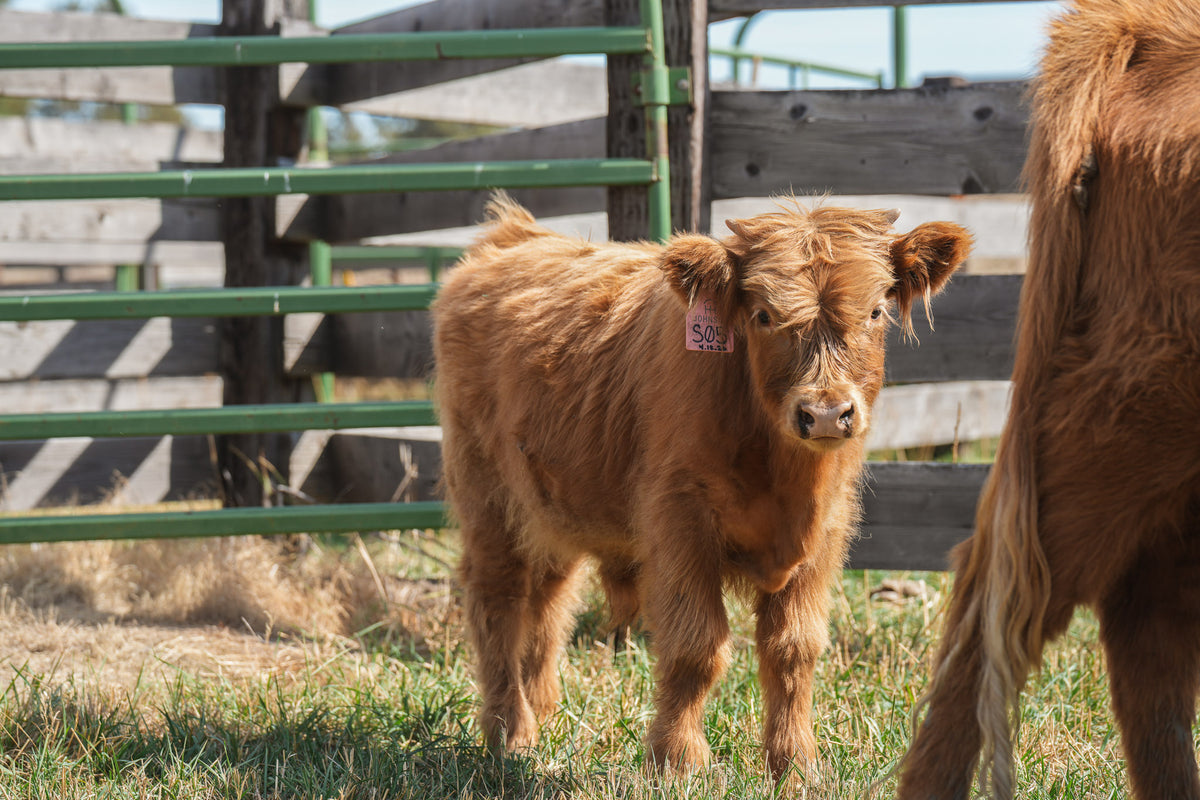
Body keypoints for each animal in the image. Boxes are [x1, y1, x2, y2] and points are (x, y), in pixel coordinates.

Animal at [431, 194, 969, 778]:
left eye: (875, 311)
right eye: (763, 315)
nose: (826, 414)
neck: (782, 476)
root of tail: (515, 236)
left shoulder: (825, 533)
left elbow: (794, 648)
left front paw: (796, 762)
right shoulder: (680, 521)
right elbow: (697, 646)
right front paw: (677, 759)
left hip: (553, 503)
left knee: (550, 598)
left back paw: (542, 710)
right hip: (487, 497)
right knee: (498, 598)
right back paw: (509, 733)